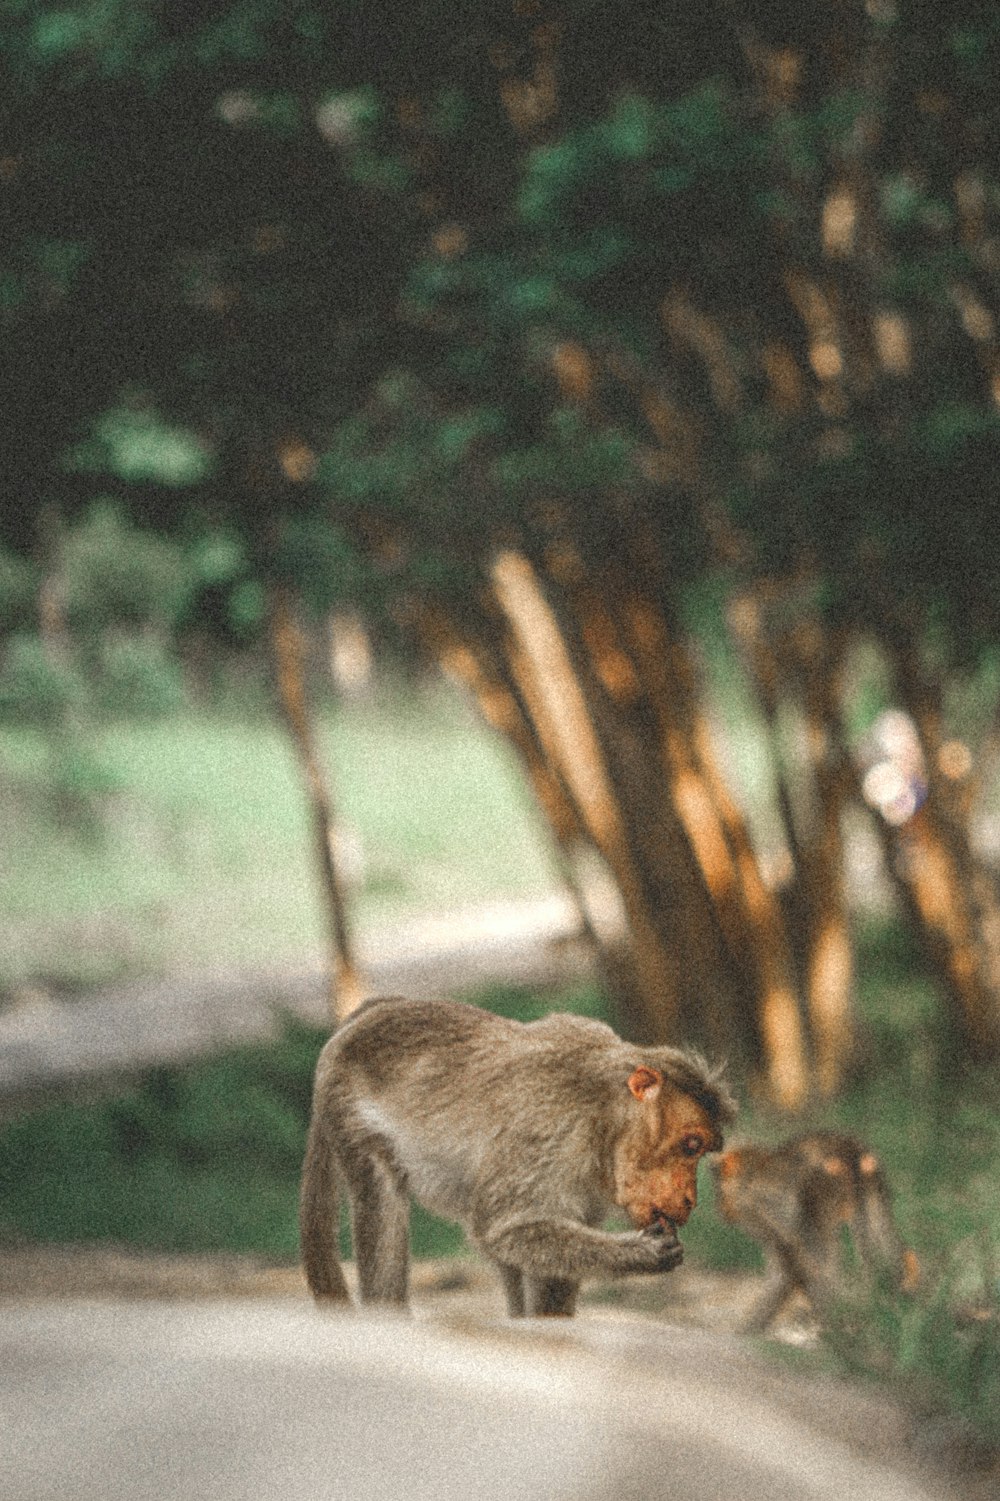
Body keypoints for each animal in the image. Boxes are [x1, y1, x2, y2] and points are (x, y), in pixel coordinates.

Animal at [295, 996, 732, 1314]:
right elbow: (501, 1229)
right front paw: (640, 1253)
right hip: (350, 1112)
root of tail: (361, 1019)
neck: (601, 1113)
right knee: (382, 1197)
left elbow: (543, 1254)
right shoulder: (548, 1129)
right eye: (690, 1146)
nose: (690, 1198)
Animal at [711, 1128, 912, 1332]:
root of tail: (851, 1150)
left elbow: (801, 1263)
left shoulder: (772, 1209)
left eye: (720, 1194)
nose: (721, 1209)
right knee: (883, 1239)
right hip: (872, 1182)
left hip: (825, 1185)